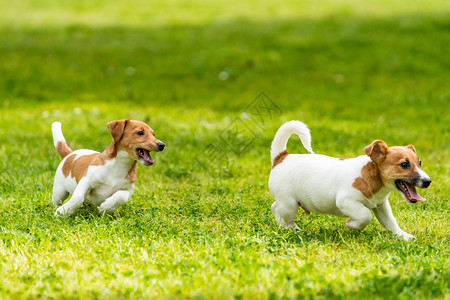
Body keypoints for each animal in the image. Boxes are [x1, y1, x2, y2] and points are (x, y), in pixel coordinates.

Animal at [268, 120, 430, 240]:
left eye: (419, 162)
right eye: (404, 164)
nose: (428, 181)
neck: (370, 176)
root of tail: (281, 157)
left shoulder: (381, 205)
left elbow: (390, 221)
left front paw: (403, 236)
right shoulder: (346, 201)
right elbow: (365, 215)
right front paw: (351, 225)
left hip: (288, 202)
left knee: (275, 207)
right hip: (289, 203)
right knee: (283, 214)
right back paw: (293, 230)